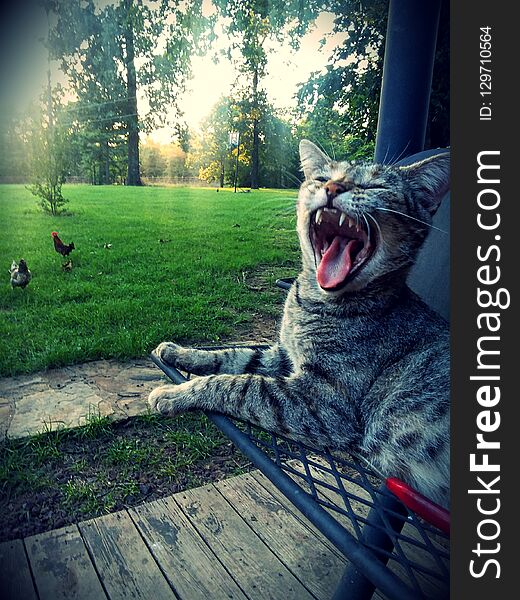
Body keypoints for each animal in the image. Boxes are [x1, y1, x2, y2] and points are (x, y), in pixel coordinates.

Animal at [148, 139, 448, 506]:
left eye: (374, 185)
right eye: (321, 178)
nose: (333, 188)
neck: (309, 301)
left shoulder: (323, 402)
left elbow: (236, 384)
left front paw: (176, 393)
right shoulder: (283, 354)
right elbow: (232, 355)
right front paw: (181, 353)